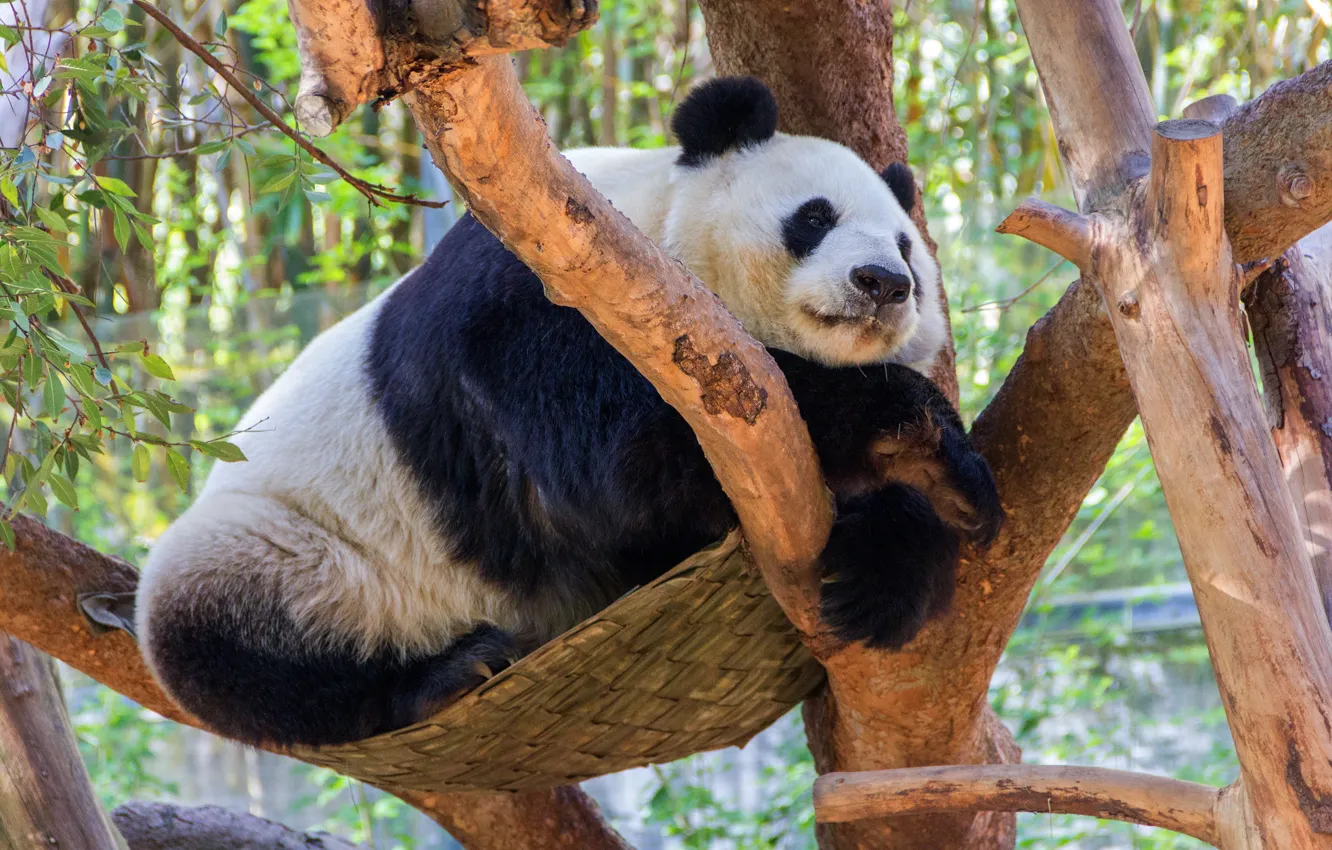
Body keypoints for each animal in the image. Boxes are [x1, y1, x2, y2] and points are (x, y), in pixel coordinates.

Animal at [135, 76, 1002, 749]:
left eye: (907, 246)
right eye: (815, 217)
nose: (883, 283)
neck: (651, 239)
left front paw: (893, 555)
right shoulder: (530, 289)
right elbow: (617, 459)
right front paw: (909, 433)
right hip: (298, 551)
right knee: (229, 645)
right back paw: (447, 676)